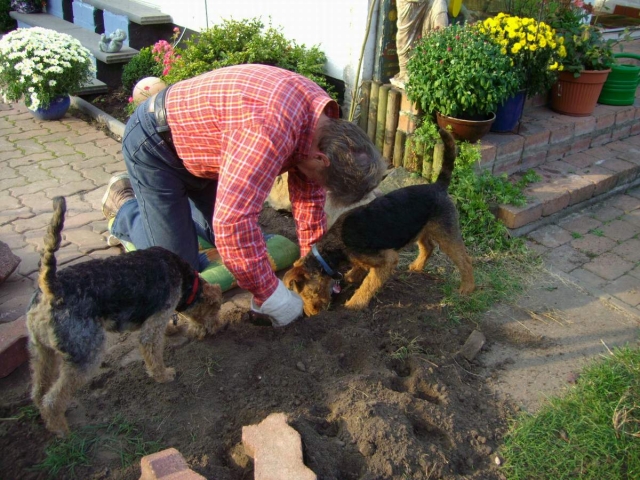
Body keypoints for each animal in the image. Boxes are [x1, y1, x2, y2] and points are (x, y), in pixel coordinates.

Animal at [26, 197, 224, 436]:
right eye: (215, 310)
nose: (218, 328)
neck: (186, 280)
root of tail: (51, 286)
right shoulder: (154, 325)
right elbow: (154, 355)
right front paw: (164, 375)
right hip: (86, 354)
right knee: (53, 399)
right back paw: (63, 431)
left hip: (41, 350)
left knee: (39, 389)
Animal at [284, 127, 476, 316]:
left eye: (304, 294)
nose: (311, 314)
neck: (334, 246)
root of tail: (438, 185)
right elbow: (360, 268)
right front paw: (351, 277)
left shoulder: (387, 259)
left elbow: (369, 284)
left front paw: (354, 304)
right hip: (420, 228)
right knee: (428, 247)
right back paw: (416, 266)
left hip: (446, 232)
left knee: (465, 260)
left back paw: (467, 288)